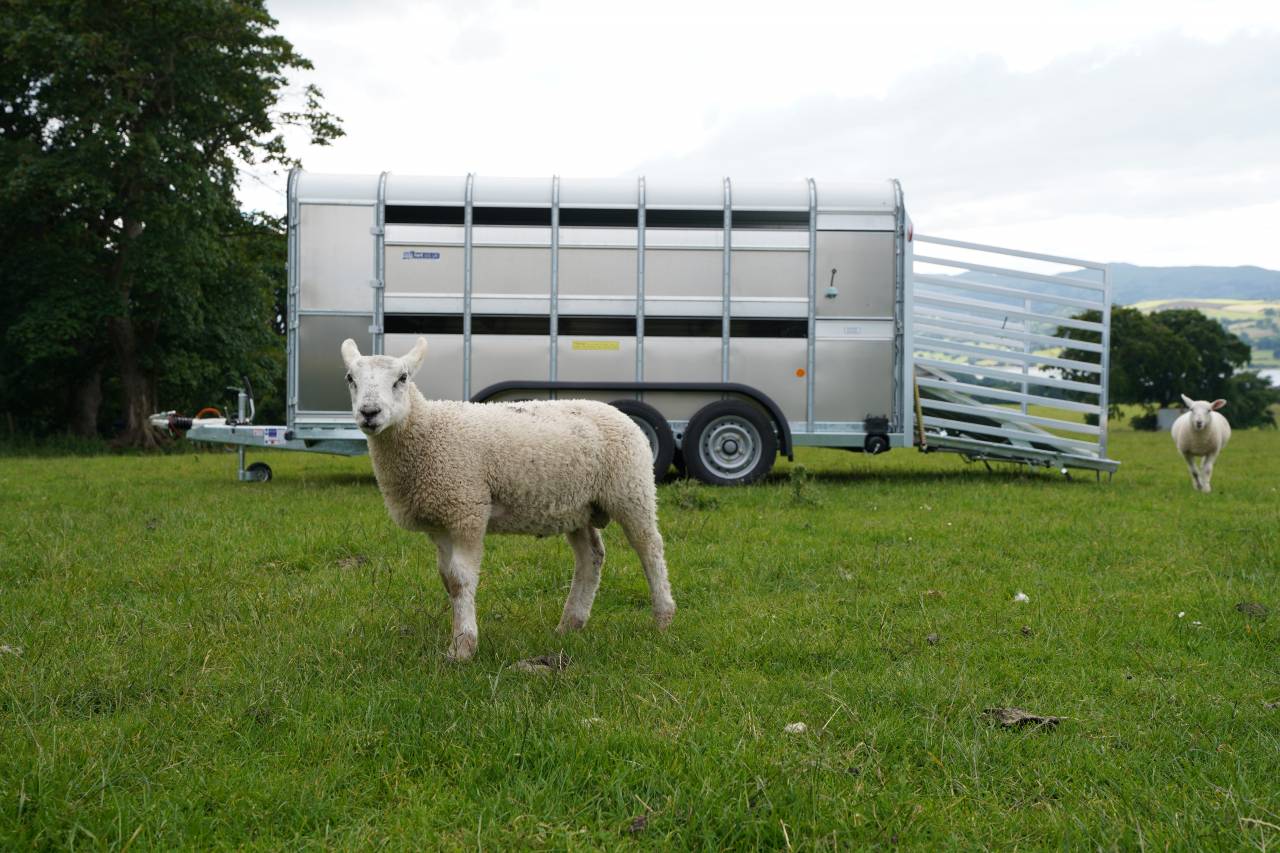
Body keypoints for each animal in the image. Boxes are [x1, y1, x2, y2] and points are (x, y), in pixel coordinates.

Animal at [340, 336, 675, 661]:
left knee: (650, 548)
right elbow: (448, 579)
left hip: (631, 489)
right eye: (350, 378)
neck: (429, 431)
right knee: (591, 556)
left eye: (402, 378)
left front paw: (463, 648)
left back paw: (663, 618)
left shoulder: (468, 509)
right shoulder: (441, 521)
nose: (369, 412)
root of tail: (617, 412)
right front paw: (458, 640)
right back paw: (570, 624)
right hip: (577, 506)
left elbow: (461, 579)